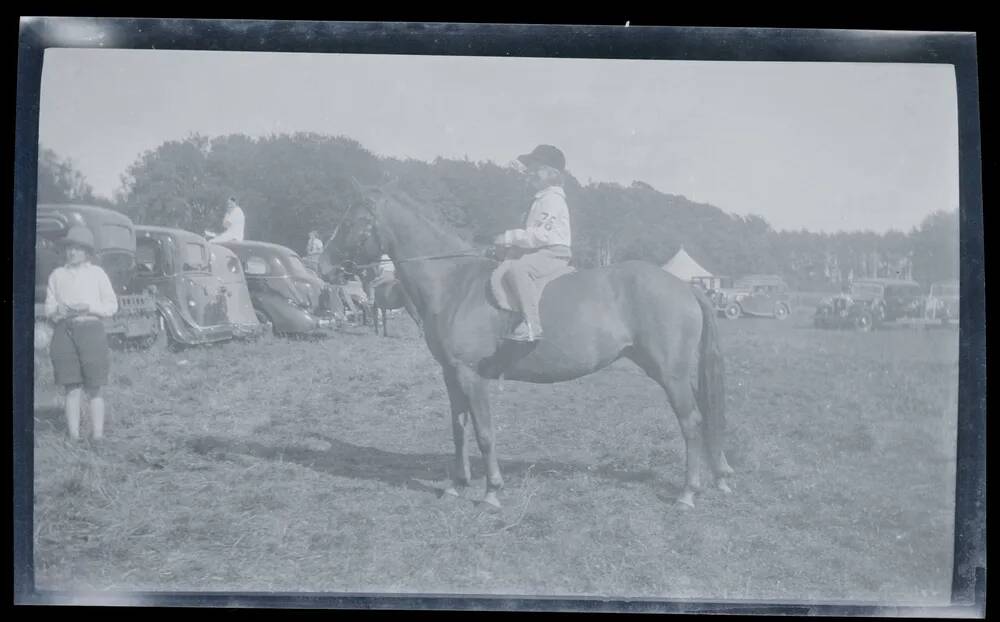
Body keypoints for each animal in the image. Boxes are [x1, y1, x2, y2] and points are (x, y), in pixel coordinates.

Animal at [322, 183, 736, 510]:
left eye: (352, 223)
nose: (324, 267)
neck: (455, 284)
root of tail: (684, 286)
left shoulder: (472, 377)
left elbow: (485, 433)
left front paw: (491, 491)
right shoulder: (451, 376)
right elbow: (458, 429)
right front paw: (457, 485)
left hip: (670, 374)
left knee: (691, 422)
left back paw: (688, 492)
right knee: (705, 414)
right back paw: (718, 474)